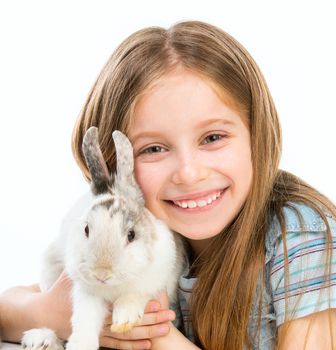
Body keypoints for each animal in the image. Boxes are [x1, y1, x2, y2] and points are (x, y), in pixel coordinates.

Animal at [22, 128, 185, 350]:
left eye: (131, 235)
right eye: (86, 229)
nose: (102, 273)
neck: (113, 286)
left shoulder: (155, 281)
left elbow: (134, 296)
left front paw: (125, 319)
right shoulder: (86, 291)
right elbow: (85, 317)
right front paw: (80, 345)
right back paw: (40, 339)